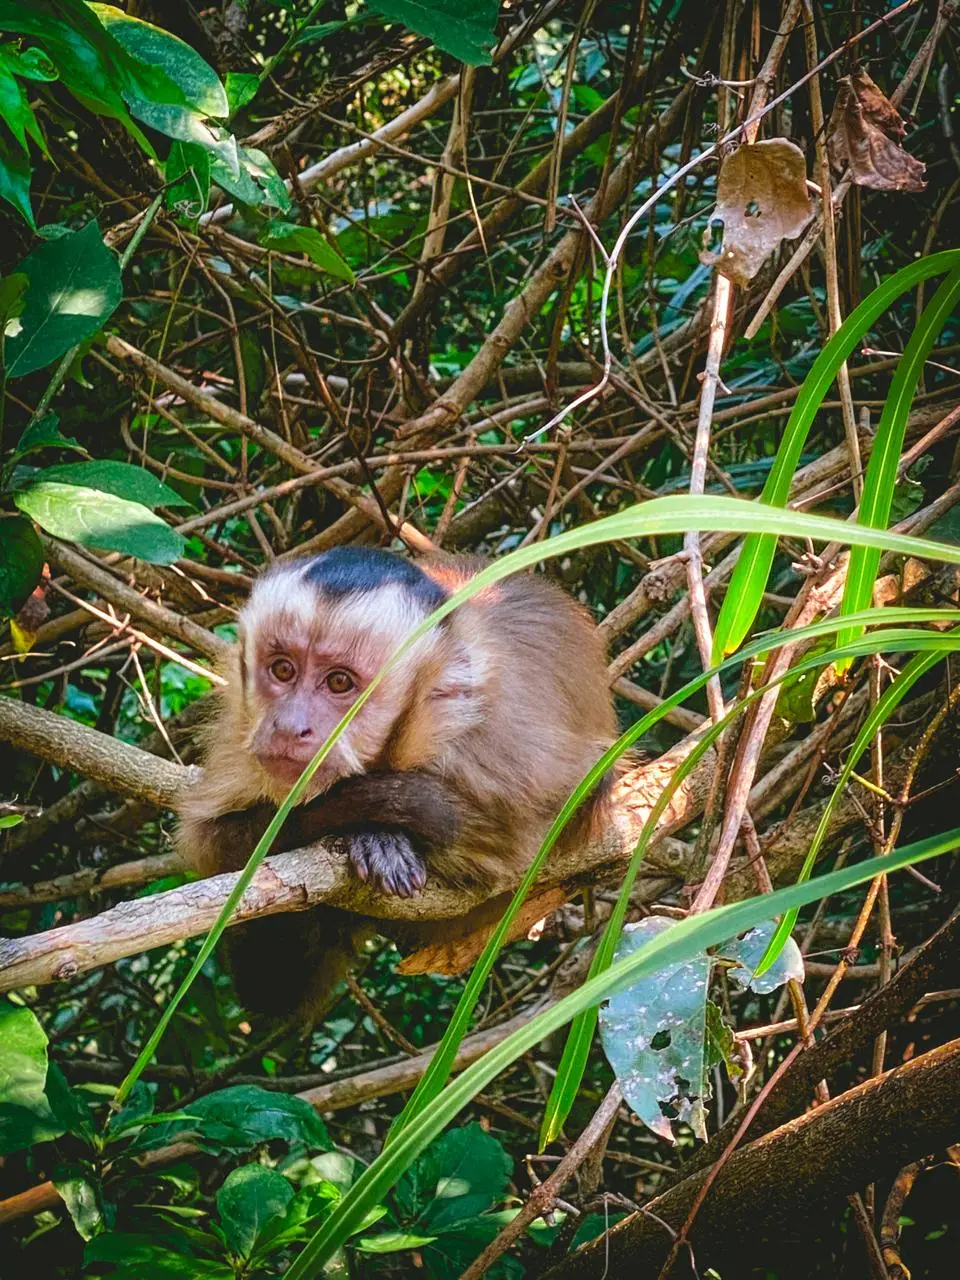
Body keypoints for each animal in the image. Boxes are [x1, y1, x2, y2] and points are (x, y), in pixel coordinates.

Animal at [176, 546, 617, 1021]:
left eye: (339, 682)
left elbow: (512, 848)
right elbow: (214, 845)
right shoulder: (242, 730)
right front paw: (370, 829)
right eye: (282, 669)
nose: (290, 726)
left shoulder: (500, 741)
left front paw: (381, 829)